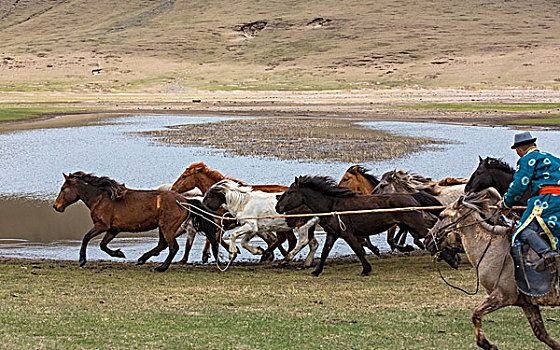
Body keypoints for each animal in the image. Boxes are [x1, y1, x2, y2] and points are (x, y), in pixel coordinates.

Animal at [52, 171, 219, 272]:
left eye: (63, 188)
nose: (55, 206)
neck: (101, 198)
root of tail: (184, 201)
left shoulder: (101, 226)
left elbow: (86, 238)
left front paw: (82, 260)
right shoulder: (113, 229)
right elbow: (103, 245)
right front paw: (119, 253)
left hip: (166, 227)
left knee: (173, 247)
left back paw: (160, 268)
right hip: (162, 227)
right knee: (163, 244)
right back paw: (141, 259)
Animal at [276, 176, 428, 278]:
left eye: (289, 192)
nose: (278, 207)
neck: (332, 206)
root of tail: (413, 197)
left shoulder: (347, 234)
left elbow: (358, 250)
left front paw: (366, 270)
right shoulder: (333, 233)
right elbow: (325, 251)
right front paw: (316, 271)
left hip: (416, 225)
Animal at [424, 189, 560, 350]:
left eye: (441, 216)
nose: (427, 240)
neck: (493, 248)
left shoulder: (501, 296)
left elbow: (476, 314)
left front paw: (487, 344)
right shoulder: (527, 303)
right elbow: (541, 333)